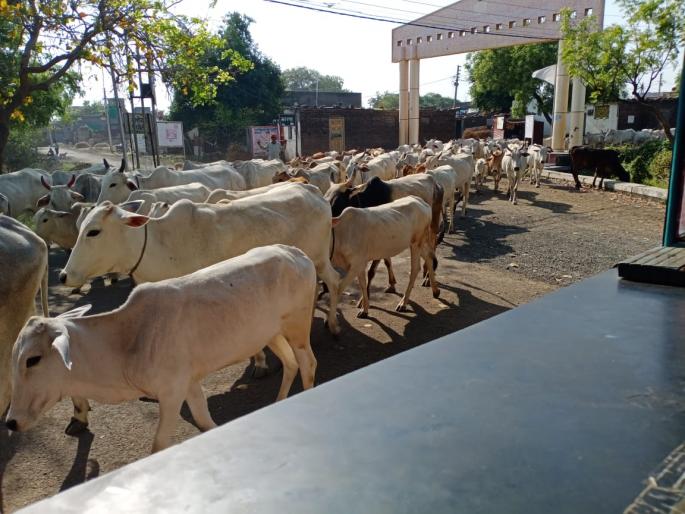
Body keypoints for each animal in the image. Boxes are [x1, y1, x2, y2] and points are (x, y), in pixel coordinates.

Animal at [6, 244, 318, 453]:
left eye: (32, 359)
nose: (10, 422)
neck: (127, 341)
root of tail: (296, 253)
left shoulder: (172, 392)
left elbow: (158, 445)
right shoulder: (189, 384)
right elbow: (205, 422)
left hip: (297, 328)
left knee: (307, 364)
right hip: (271, 334)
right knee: (290, 364)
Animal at [61, 183, 343, 335]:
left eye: (94, 231)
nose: (64, 275)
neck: (160, 244)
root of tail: (311, 189)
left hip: (319, 257)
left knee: (334, 280)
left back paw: (333, 325)